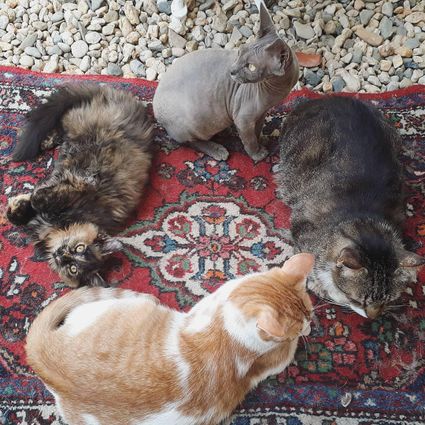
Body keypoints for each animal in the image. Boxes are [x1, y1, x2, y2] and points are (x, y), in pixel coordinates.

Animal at [7, 84, 154, 287]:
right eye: (79, 248)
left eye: (73, 268)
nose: (61, 255)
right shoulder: (84, 184)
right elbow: (24, 210)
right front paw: (22, 201)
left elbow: (34, 203)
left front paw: (24, 200)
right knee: (61, 121)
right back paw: (47, 141)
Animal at [153, 0, 299, 162]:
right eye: (240, 52)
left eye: (251, 66)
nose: (232, 71)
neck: (277, 89)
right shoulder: (243, 119)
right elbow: (249, 139)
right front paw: (257, 154)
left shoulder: (262, 112)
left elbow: (258, 128)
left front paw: (262, 140)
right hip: (192, 122)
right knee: (191, 142)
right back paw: (218, 149)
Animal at [276, 96, 424, 319]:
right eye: (359, 300)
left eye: (388, 299)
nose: (374, 317)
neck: (364, 219)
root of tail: (328, 98)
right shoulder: (302, 234)